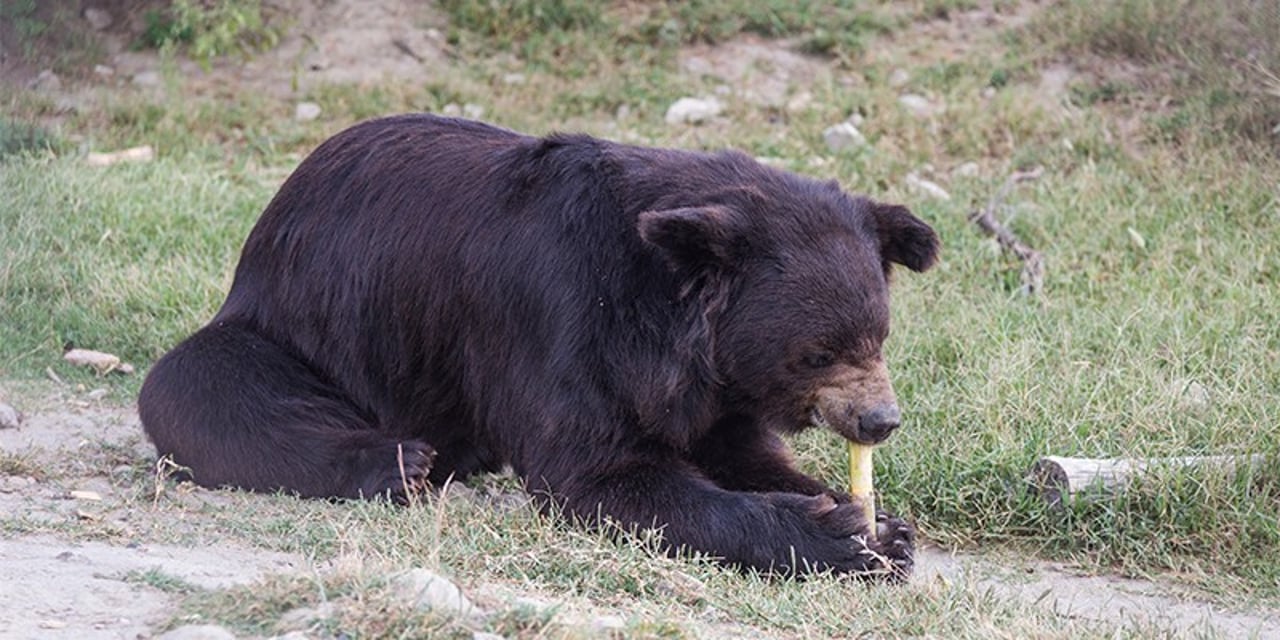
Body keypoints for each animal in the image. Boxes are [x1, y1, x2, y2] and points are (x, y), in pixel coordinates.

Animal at [140, 115, 942, 581]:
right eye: (817, 352)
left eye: (878, 335)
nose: (880, 421)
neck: (667, 331)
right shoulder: (557, 318)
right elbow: (598, 472)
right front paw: (837, 537)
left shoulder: (713, 384)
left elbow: (740, 450)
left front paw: (880, 526)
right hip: (299, 327)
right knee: (202, 391)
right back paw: (399, 460)